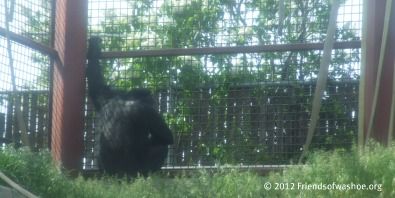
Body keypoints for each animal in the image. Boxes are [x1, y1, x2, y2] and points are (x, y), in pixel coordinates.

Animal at [86, 36, 173, 176]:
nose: (155, 104)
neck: (128, 99)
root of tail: (119, 176)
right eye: (152, 103)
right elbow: (166, 137)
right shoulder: (148, 112)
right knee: (161, 147)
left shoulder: (108, 96)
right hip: (137, 171)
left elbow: (96, 84)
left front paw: (94, 45)